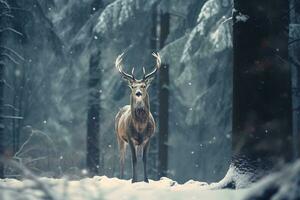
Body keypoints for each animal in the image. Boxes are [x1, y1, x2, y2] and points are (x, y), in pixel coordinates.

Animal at [113, 52, 161, 183]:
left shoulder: (148, 138)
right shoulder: (130, 137)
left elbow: (144, 159)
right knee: (122, 159)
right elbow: (133, 159)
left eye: (144, 86)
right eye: (133, 86)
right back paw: (122, 177)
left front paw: (146, 180)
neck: (140, 127)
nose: (138, 93)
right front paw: (134, 180)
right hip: (119, 137)